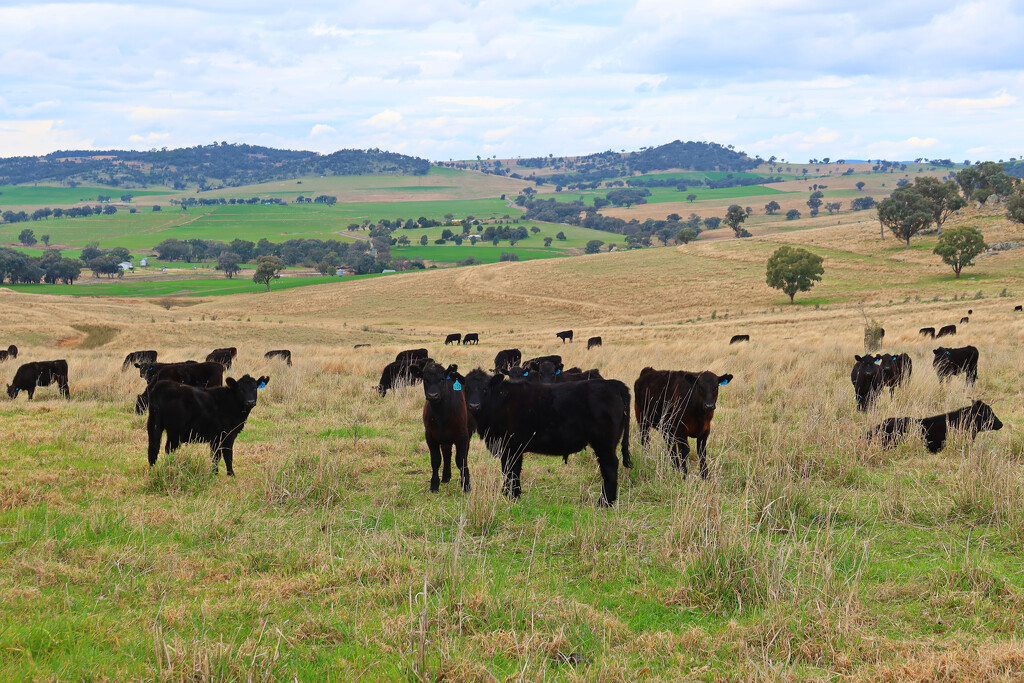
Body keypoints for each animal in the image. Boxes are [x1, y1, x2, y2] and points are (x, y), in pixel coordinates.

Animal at [407, 360, 475, 493]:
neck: (441, 415)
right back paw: (445, 477)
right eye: (425, 379)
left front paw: (466, 485)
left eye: (442, 379)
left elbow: (461, 459)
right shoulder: (430, 435)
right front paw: (434, 485)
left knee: (463, 454)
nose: (433, 395)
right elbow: (435, 460)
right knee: (446, 453)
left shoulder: (462, 435)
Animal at [464, 368, 630, 507]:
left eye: (485, 389)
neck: (501, 401)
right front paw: (510, 494)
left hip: (604, 443)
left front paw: (511, 496)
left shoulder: (510, 446)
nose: (473, 406)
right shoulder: (512, 448)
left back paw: (604, 502)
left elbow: (511, 470)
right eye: (466, 388)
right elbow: (511, 470)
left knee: (609, 466)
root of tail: (613, 384)